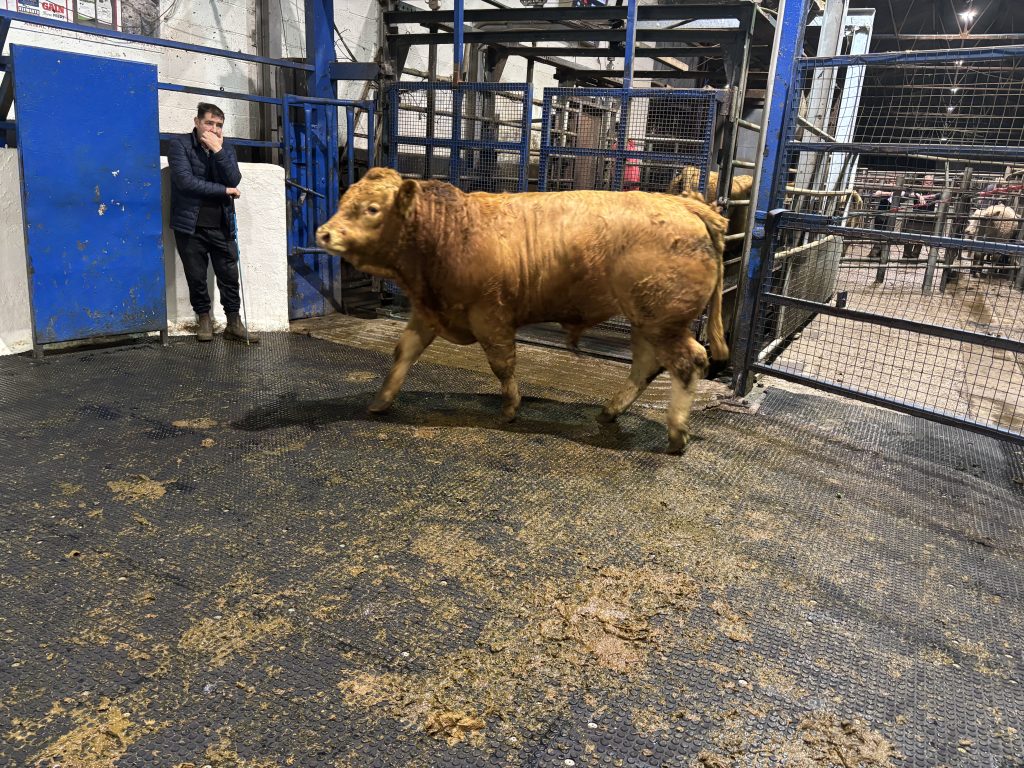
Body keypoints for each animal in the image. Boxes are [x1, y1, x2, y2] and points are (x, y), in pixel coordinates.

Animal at [316, 168, 728, 454]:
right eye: (343, 201)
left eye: (372, 209)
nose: (323, 233)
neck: (447, 230)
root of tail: (682, 203)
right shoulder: (429, 312)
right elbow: (404, 352)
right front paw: (381, 401)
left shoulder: (490, 315)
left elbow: (502, 364)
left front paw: (511, 408)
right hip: (645, 320)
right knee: (646, 365)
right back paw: (610, 411)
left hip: (663, 321)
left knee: (689, 362)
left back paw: (676, 435)